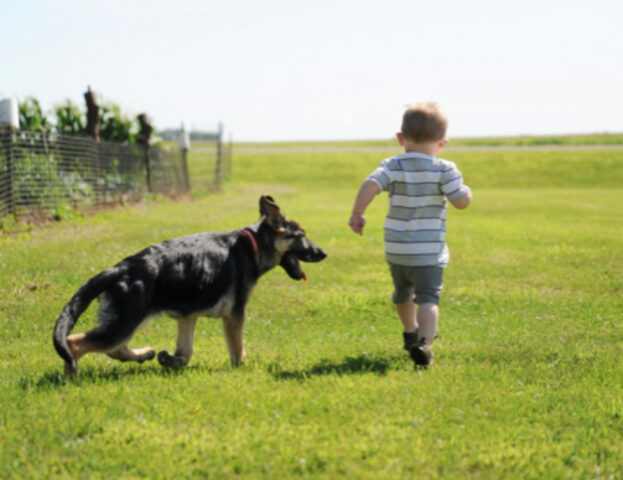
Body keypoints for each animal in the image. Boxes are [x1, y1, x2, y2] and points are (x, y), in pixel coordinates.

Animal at [53, 195, 326, 376]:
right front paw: (244, 370)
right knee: (76, 342)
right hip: (126, 320)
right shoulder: (234, 314)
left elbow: (186, 353)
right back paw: (71, 376)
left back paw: (145, 354)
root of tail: (120, 268)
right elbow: (238, 350)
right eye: (301, 235)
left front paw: (170, 361)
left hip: (125, 320)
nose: (323, 253)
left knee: (113, 348)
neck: (254, 244)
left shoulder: (188, 316)